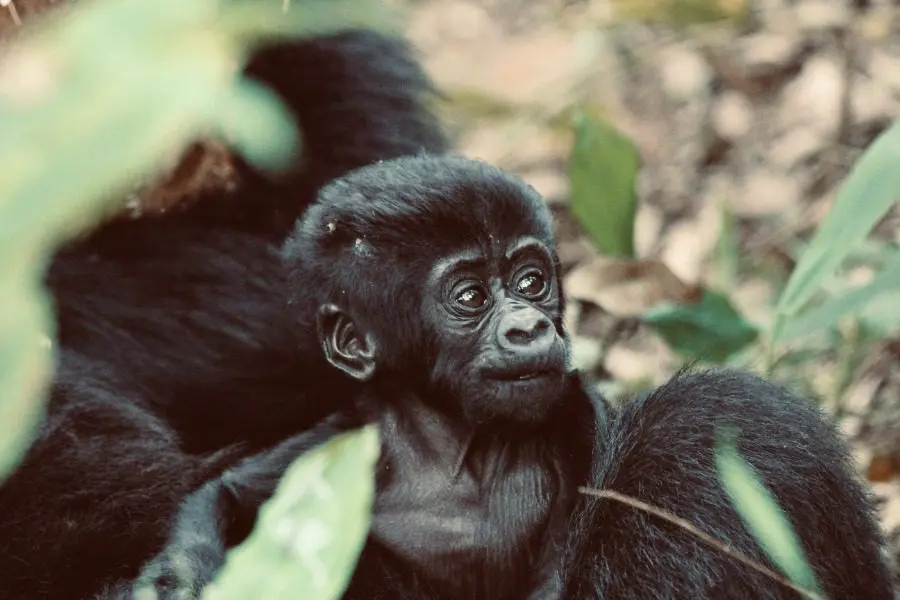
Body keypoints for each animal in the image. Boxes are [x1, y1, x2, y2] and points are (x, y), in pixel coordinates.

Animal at [134, 156, 600, 600]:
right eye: (471, 297)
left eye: (531, 282)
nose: (530, 327)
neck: (454, 451)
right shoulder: (343, 441)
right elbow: (223, 495)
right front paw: (180, 586)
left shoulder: (581, 422)